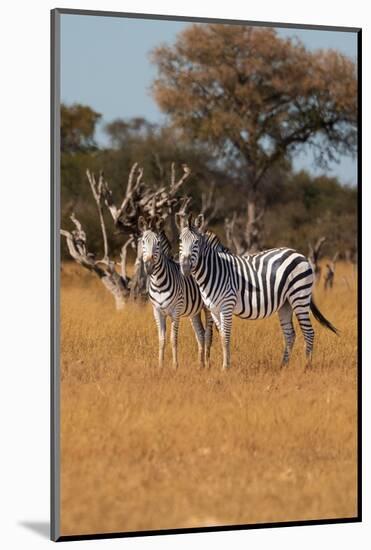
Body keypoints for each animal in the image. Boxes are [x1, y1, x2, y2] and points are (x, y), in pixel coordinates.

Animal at [139, 217, 215, 370]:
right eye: (143, 242)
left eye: (157, 243)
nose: (149, 267)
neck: (158, 283)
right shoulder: (157, 311)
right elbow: (161, 339)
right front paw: (160, 366)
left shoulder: (176, 311)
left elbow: (173, 339)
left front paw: (175, 366)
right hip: (194, 312)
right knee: (200, 334)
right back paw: (200, 365)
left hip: (207, 307)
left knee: (208, 334)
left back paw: (208, 364)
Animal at [179, 215, 338, 370]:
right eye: (180, 241)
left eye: (196, 243)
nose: (185, 267)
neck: (214, 271)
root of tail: (299, 254)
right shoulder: (214, 309)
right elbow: (221, 337)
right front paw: (223, 366)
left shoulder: (227, 306)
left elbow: (226, 338)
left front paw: (225, 368)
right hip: (285, 303)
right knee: (290, 334)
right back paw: (283, 366)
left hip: (300, 296)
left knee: (309, 332)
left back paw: (307, 367)